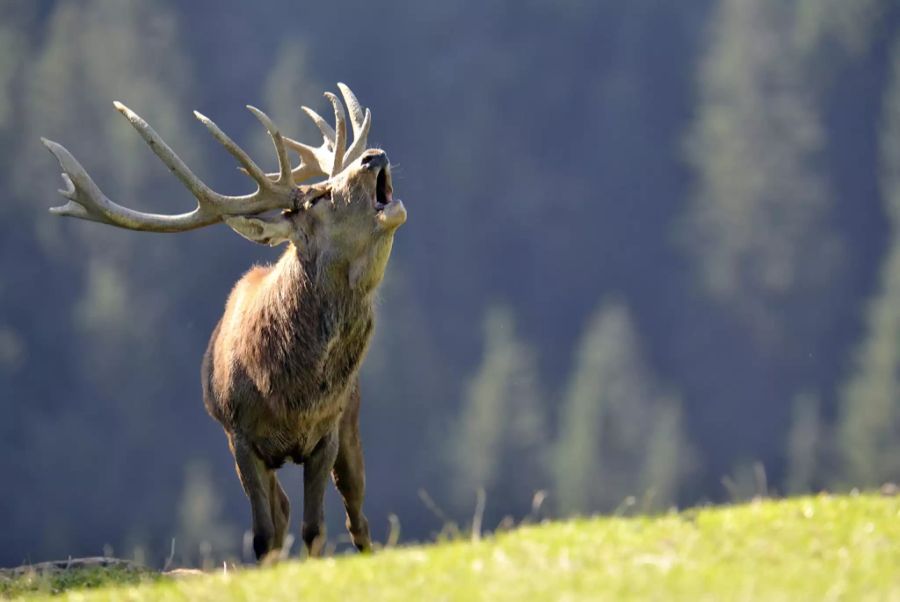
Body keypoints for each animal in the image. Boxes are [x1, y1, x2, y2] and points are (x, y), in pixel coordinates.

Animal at [40, 84, 406, 561]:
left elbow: (315, 530)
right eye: (317, 198)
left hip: (351, 421)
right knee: (283, 512)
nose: (373, 155)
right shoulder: (240, 436)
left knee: (356, 517)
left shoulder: (325, 432)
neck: (290, 391)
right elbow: (264, 535)